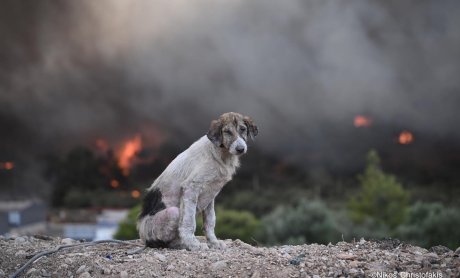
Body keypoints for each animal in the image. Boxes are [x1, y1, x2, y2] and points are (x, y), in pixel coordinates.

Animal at [137, 112, 258, 251]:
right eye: (227, 132)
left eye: (243, 129)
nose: (240, 149)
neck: (219, 154)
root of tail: (144, 238)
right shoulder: (191, 188)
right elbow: (189, 222)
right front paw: (193, 244)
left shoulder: (211, 194)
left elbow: (210, 221)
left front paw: (214, 242)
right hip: (173, 213)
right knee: (164, 242)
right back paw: (182, 244)